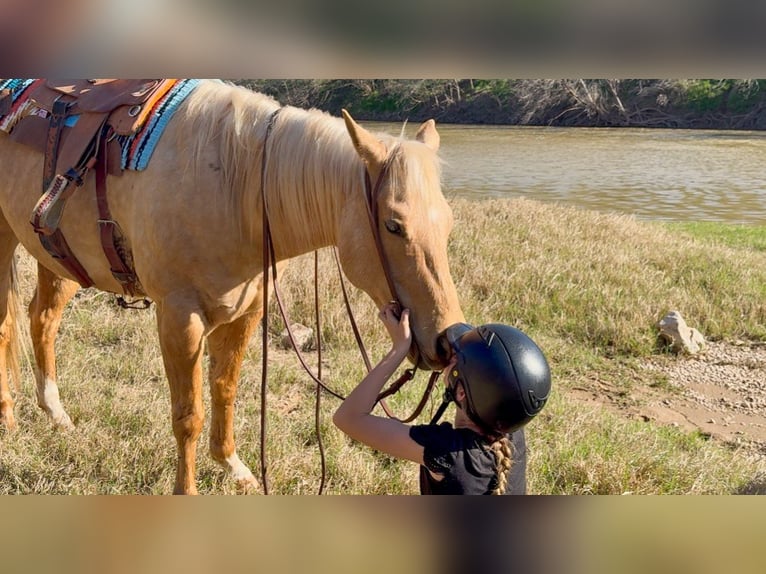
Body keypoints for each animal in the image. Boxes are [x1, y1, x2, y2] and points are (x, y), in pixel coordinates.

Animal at [0, 80, 465, 494]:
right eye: (393, 225)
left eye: (448, 222)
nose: (447, 339)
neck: (234, 190)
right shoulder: (180, 317)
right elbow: (188, 415)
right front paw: (186, 490)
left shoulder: (247, 311)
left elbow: (225, 391)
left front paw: (233, 468)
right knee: (7, 326)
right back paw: (8, 418)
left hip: (57, 258)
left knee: (42, 320)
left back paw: (56, 414)